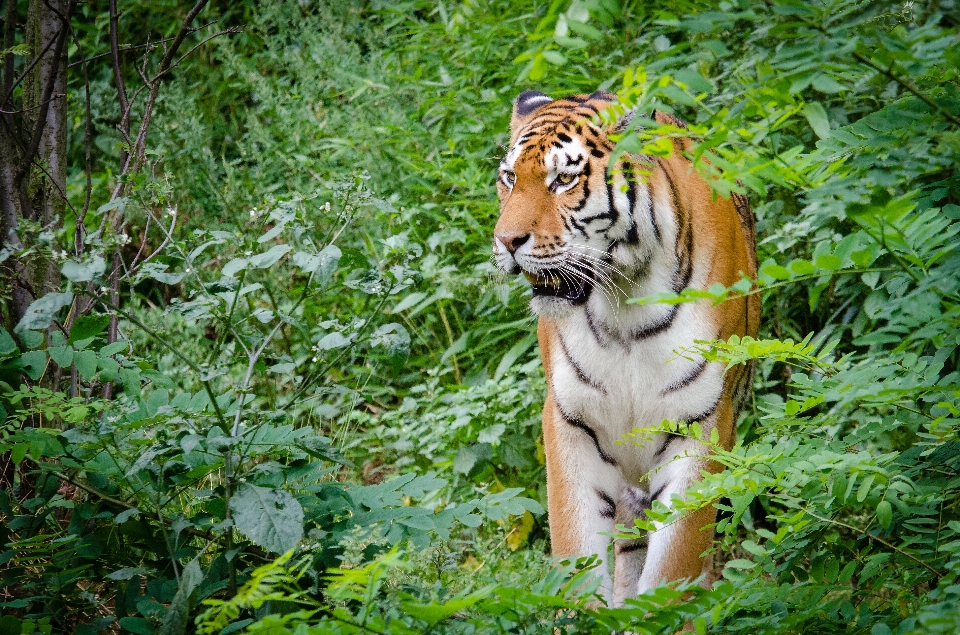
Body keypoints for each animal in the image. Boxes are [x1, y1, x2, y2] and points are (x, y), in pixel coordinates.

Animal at [496, 89, 756, 608]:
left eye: (564, 179)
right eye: (510, 178)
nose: (506, 241)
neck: (624, 306)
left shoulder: (702, 423)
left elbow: (674, 568)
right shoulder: (569, 421)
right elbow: (576, 556)